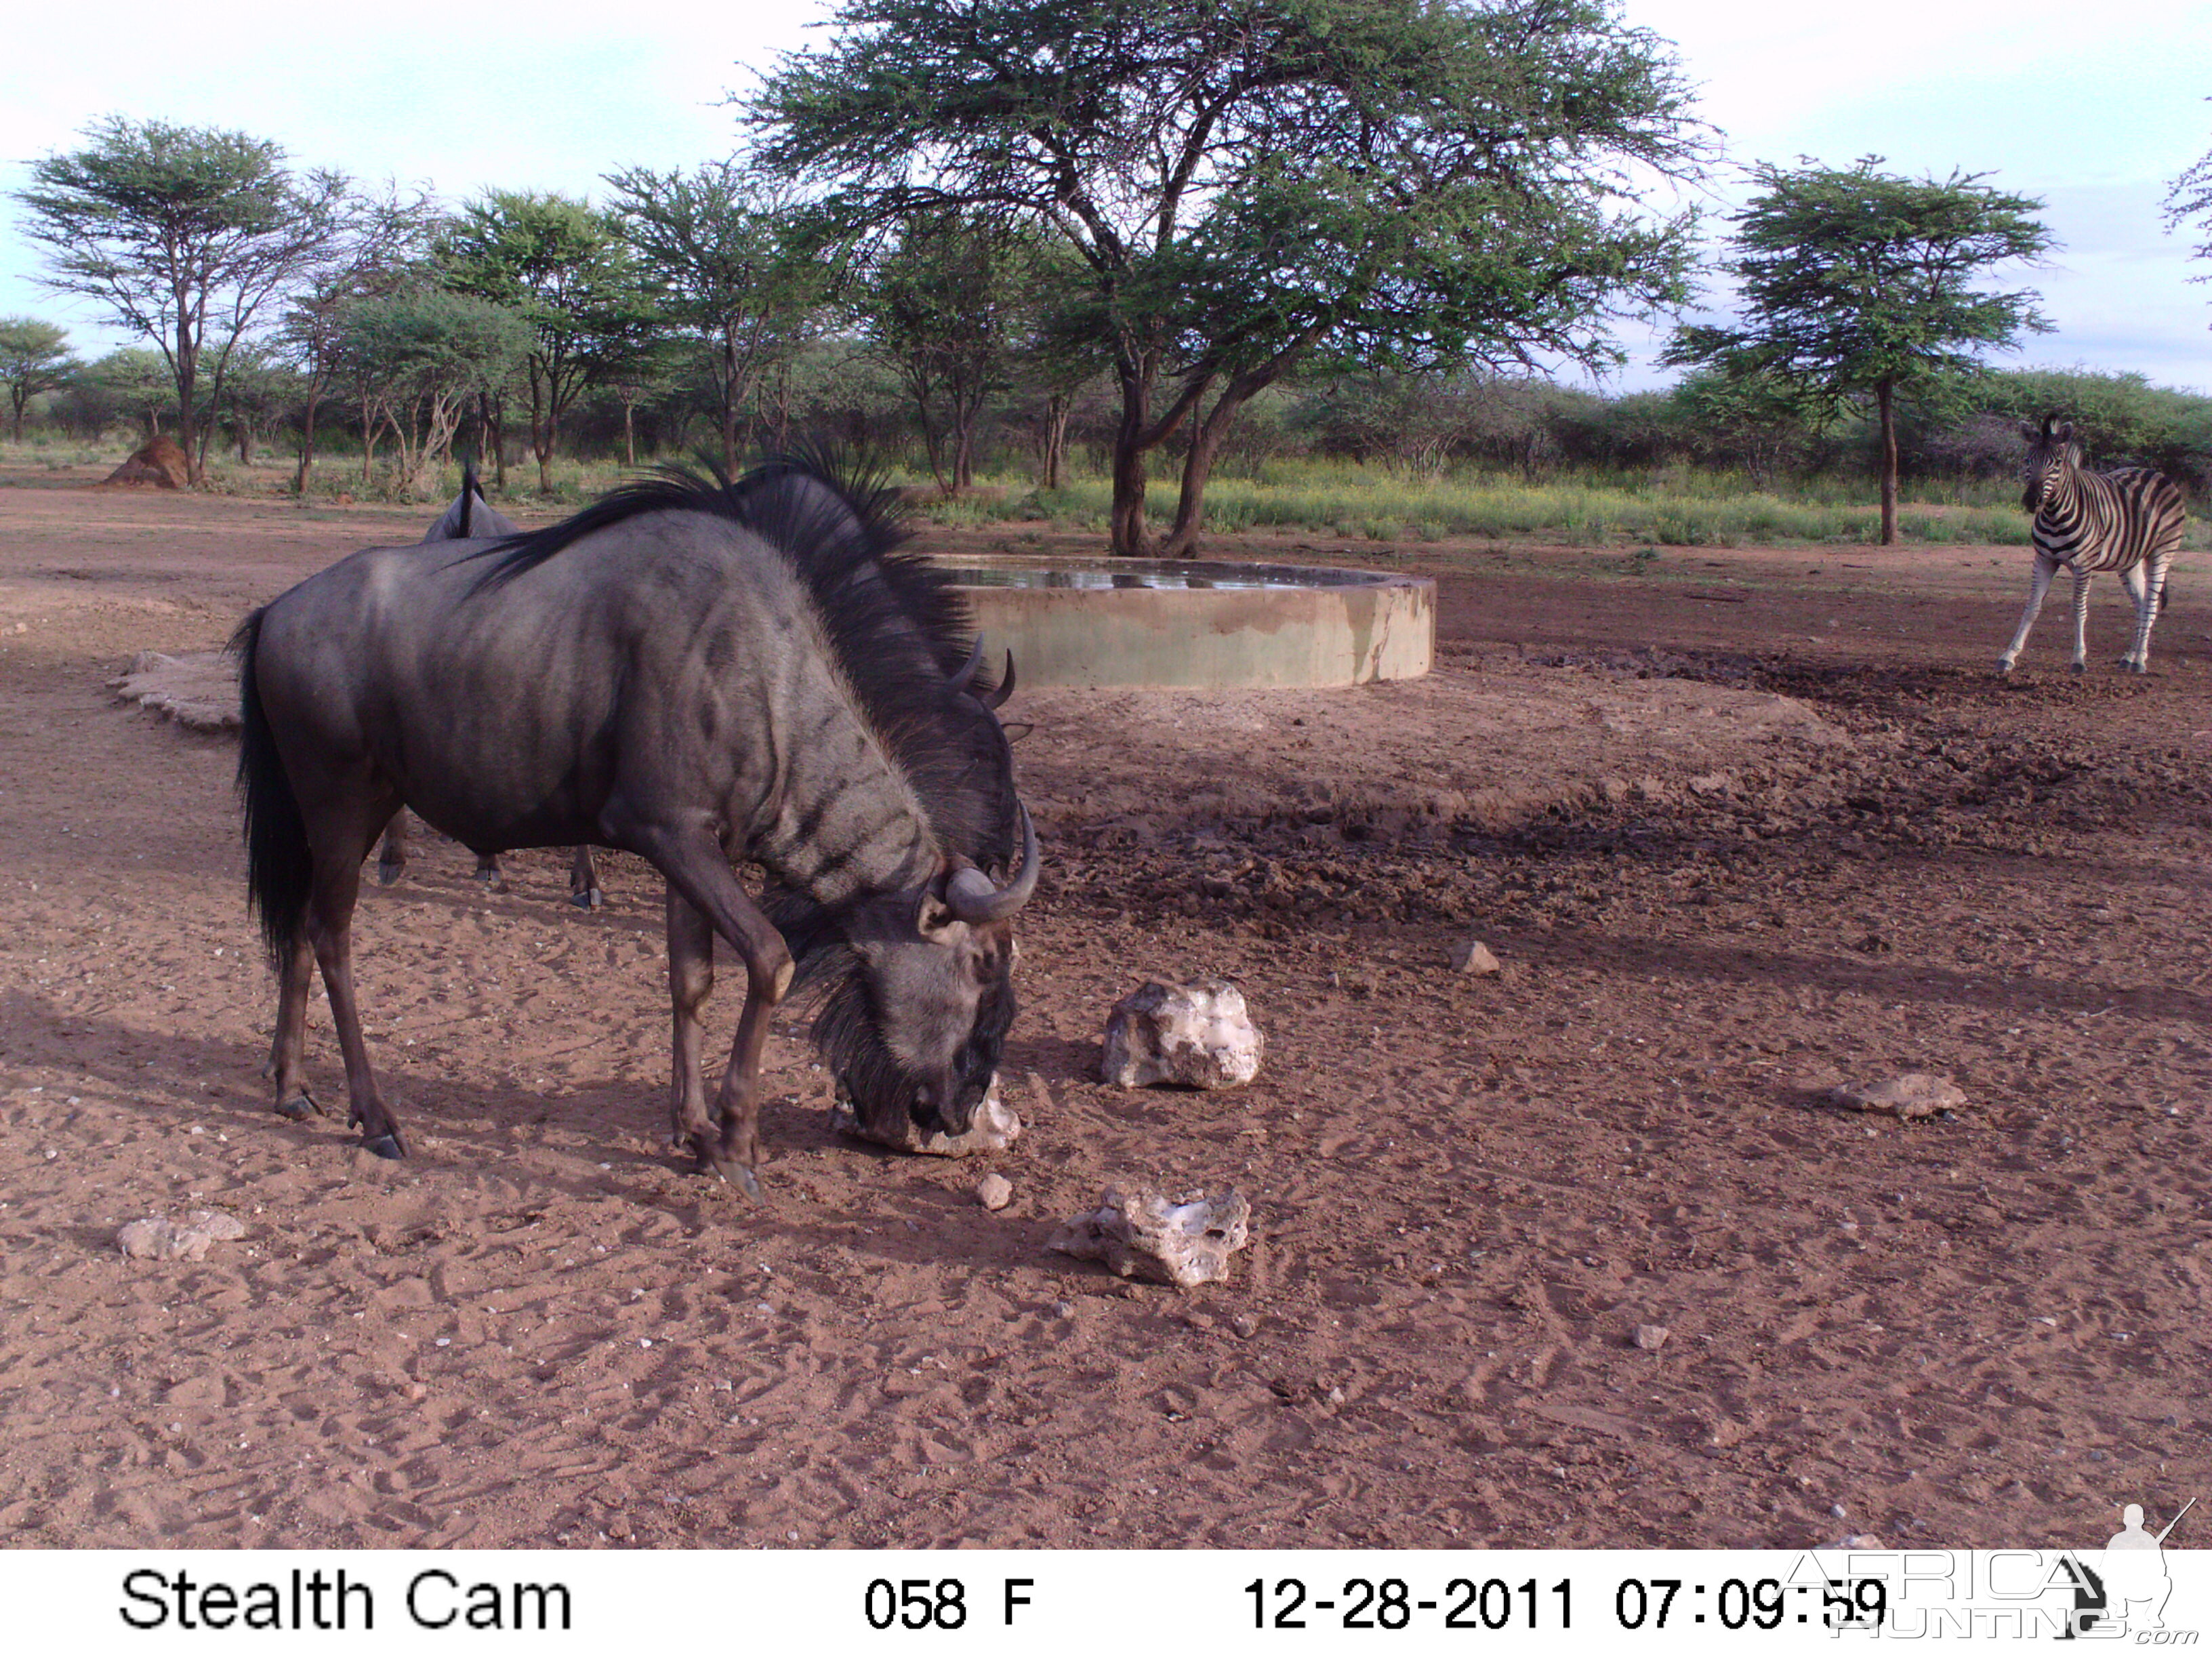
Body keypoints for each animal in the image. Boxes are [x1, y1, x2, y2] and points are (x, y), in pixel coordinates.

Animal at [1999, 417, 2185, 676]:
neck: (2055, 515)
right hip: (2130, 561)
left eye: (2057, 463)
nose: (2031, 500)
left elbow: (2079, 610)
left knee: (2150, 604)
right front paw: (2009, 656)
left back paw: (2140, 660)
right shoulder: (2044, 559)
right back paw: (2130, 657)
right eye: (2028, 460)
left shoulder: (2083, 565)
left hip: (2163, 551)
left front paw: (2078, 660)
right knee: (2140, 605)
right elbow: (2032, 608)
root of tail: (2157, 473)